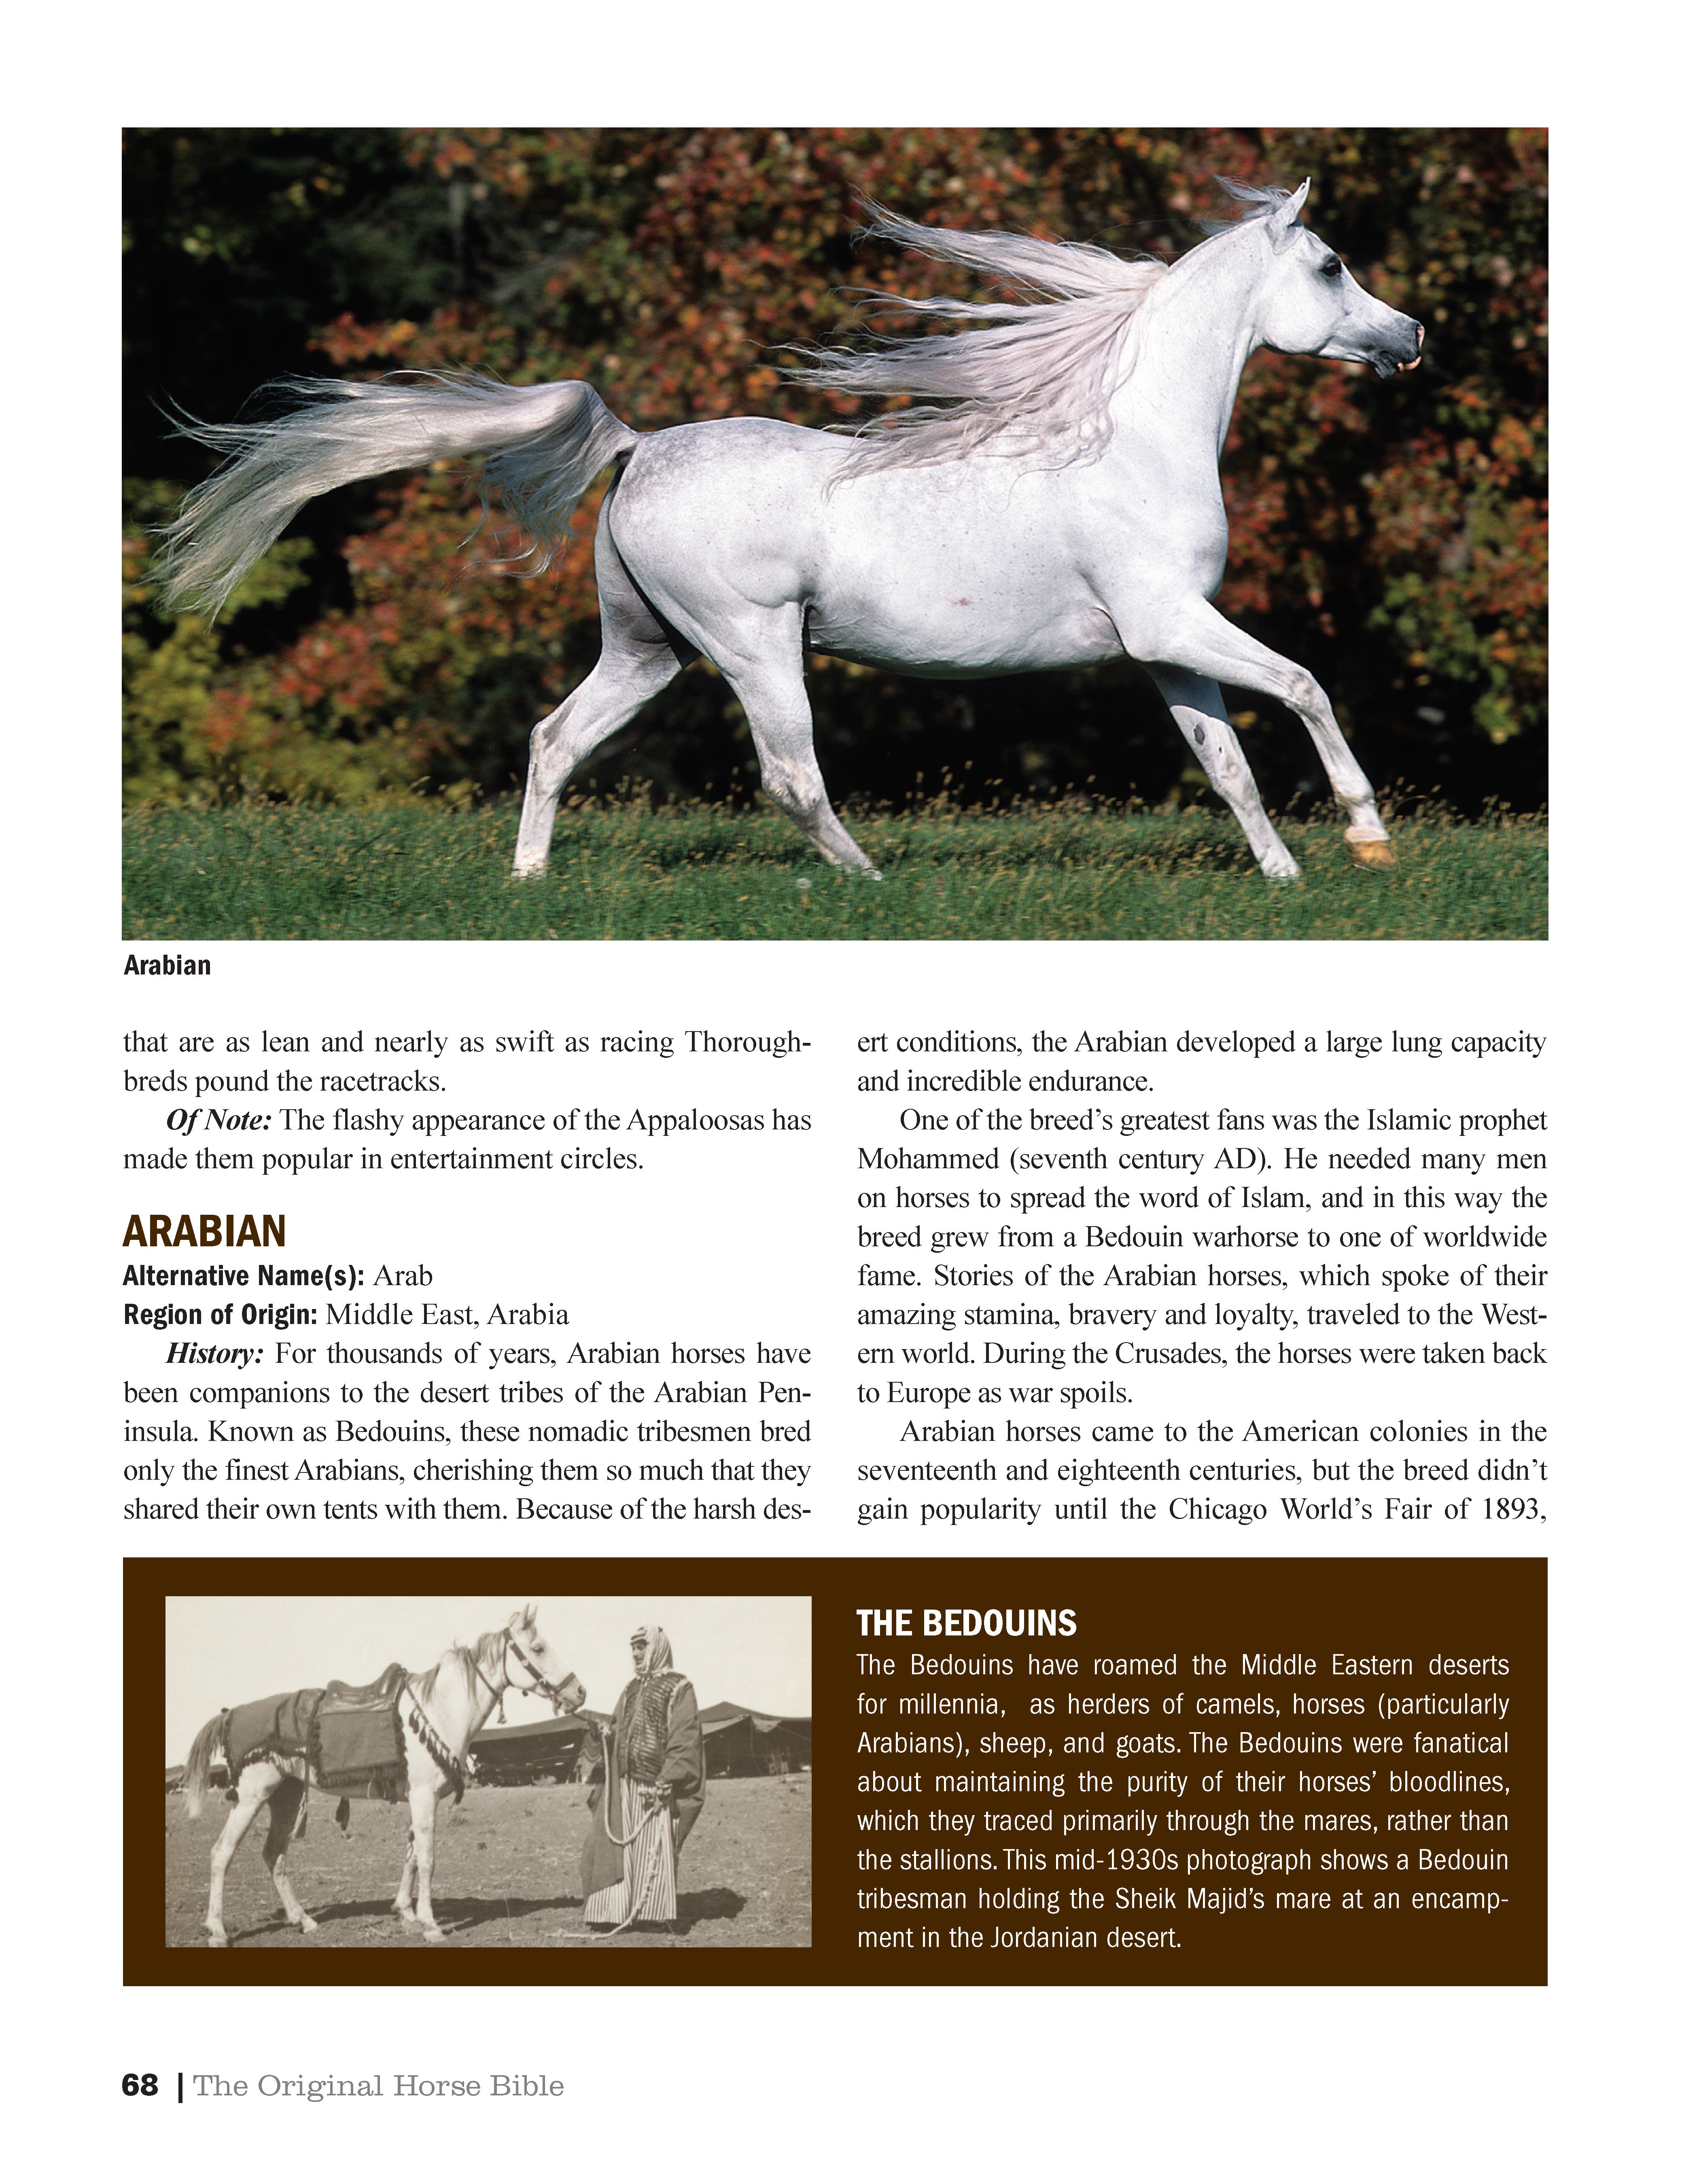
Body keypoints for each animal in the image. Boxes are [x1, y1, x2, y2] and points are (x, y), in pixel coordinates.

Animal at [155, 180, 1422, 882]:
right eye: (1329, 265)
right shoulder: (1170, 623)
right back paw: (871, 883)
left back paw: (526, 881)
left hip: (648, 650)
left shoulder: (1159, 645)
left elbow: (1227, 767)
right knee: (789, 776)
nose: (1407, 337)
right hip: (754, 644)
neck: (1124, 439)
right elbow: (1303, 687)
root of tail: (636, 447)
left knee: (554, 739)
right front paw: (1366, 837)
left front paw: (1283, 875)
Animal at [178, 1606, 585, 1947]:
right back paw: (218, 1930)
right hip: (252, 1796)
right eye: (538, 1648)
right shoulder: (423, 1797)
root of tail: (230, 1714)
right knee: (222, 1853)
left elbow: (412, 1855)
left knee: (274, 1854)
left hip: (286, 1795)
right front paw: (431, 1924)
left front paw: (406, 1912)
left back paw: (304, 1920)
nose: (579, 1691)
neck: (439, 1710)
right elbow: (427, 1858)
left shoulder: (422, 1800)